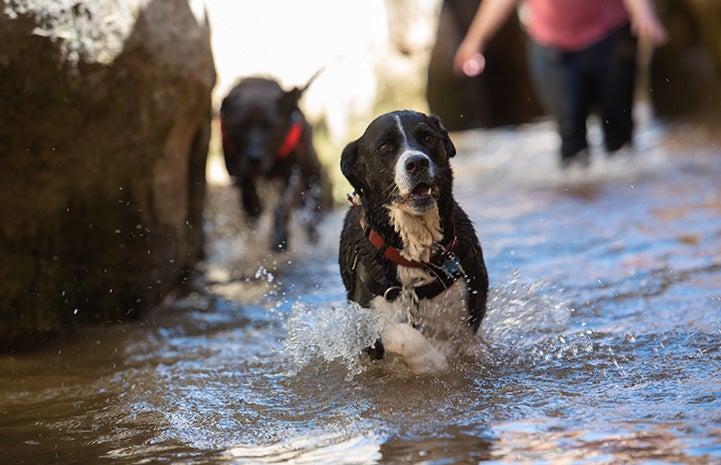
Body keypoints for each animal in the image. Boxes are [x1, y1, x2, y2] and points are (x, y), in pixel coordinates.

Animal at [219, 72, 332, 250]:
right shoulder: (237, 171)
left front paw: (279, 238)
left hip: (312, 172)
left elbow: (282, 205)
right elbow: (248, 195)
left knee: (314, 197)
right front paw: (255, 211)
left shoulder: (292, 174)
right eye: (241, 127)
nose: (254, 157)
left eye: (270, 126)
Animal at [338, 109, 490, 374]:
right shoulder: (366, 328)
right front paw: (433, 361)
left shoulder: (468, 316)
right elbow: (400, 334)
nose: (417, 163)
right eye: (385, 147)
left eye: (428, 138)